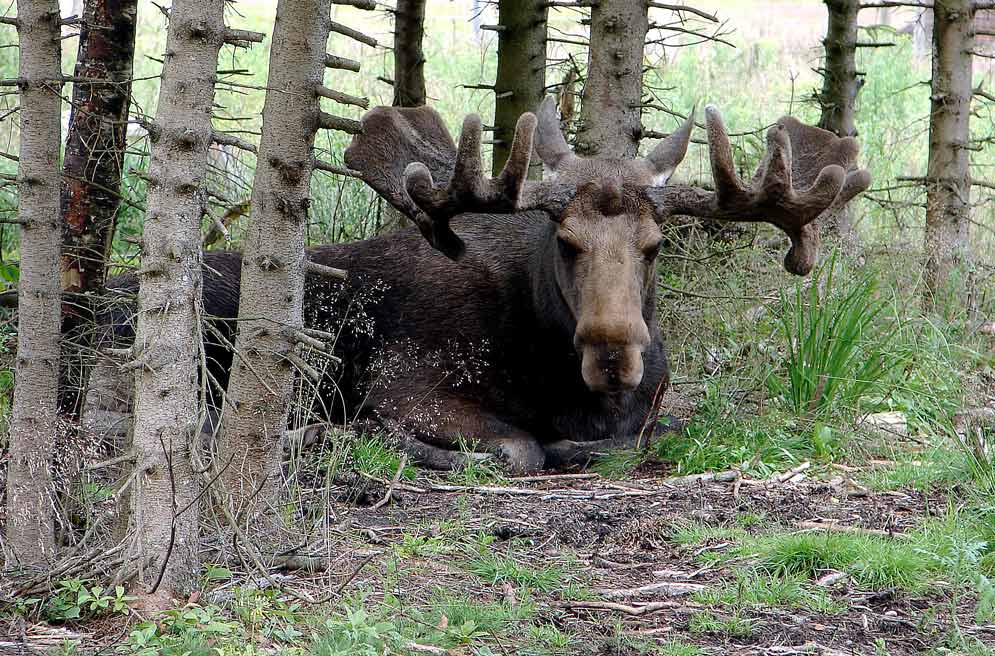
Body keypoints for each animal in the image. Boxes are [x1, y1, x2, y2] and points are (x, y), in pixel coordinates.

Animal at [91, 98, 872, 472]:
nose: (613, 356)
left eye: (654, 248)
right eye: (566, 243)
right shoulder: (407, 387)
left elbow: (665, 430)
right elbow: (521, 447)